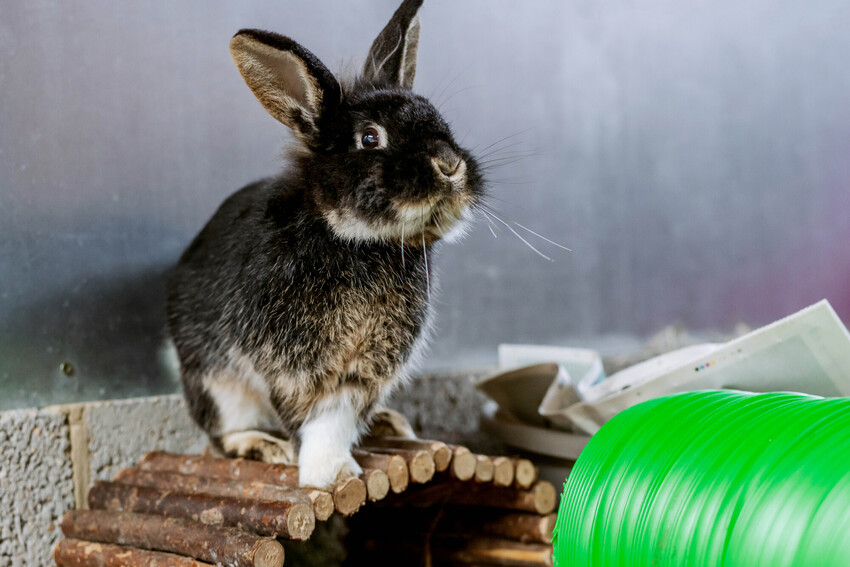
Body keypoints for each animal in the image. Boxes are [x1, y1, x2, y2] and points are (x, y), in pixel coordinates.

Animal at [166, 0, 484, 490]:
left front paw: (334, 467)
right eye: (370, 137)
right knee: (223, 433)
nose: (450, 165)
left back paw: (389, 424)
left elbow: (342, 412)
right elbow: (315, 418)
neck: (360, 242)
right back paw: (263, 445)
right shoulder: (292, 364)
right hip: (215, 382)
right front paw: (328, 475)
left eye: (440, 122)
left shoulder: (366, 369)